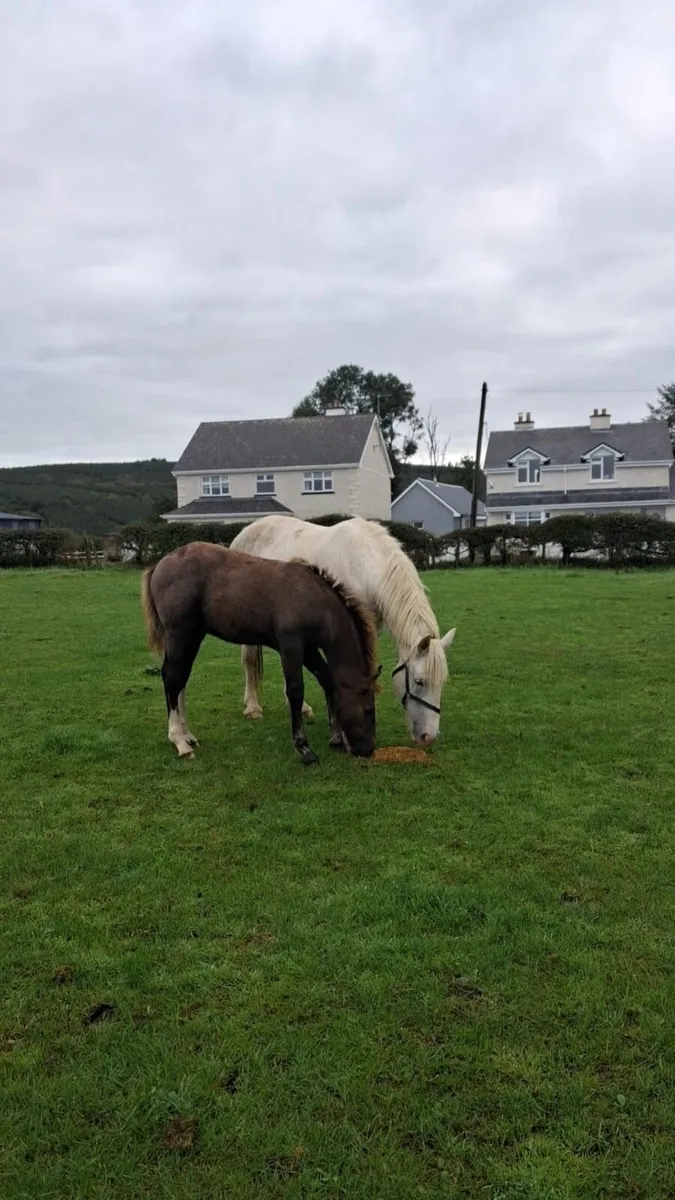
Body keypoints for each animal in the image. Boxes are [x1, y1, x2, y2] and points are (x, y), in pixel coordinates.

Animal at [141, 541, 381, 765]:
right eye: (369, 709)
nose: (367, 750)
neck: (316, 600)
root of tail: (162, 563)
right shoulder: (291, 645)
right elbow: (295, 691)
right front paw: (304, 748)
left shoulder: (309, 649)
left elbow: (327, 681)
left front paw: (336, 738)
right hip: (179, 635)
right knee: (172, 679)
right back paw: (180, 741)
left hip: (192, 637)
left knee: (180, 678)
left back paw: (188, 735)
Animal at [230, 515, 456, 745]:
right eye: (419, 681)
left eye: (442, 682)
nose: (428, 737)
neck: (363, 565)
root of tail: (245, 532)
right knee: (249, 660)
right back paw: (253, 707)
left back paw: (301, 708)